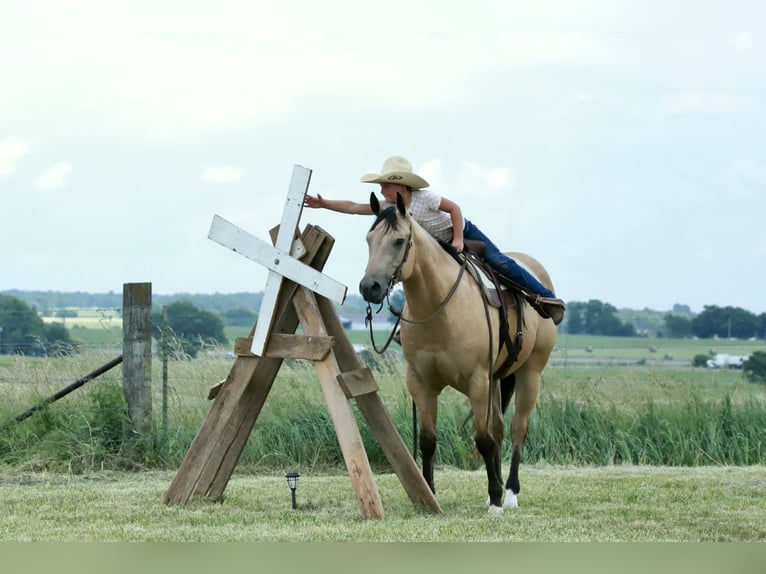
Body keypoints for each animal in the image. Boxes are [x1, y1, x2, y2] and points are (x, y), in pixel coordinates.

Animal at [359, 192, 558, 514]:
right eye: (369, 239)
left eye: (399, 241)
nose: (369, 287)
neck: (440, 306)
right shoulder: (422, 384)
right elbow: (428, 441)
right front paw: (430, 494)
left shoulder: (477, 382)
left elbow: (483, 440)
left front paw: (496, 500)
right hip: (498, 380)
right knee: (499, 428)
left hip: (530, 373)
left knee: (517, 429)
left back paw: (510, 492)